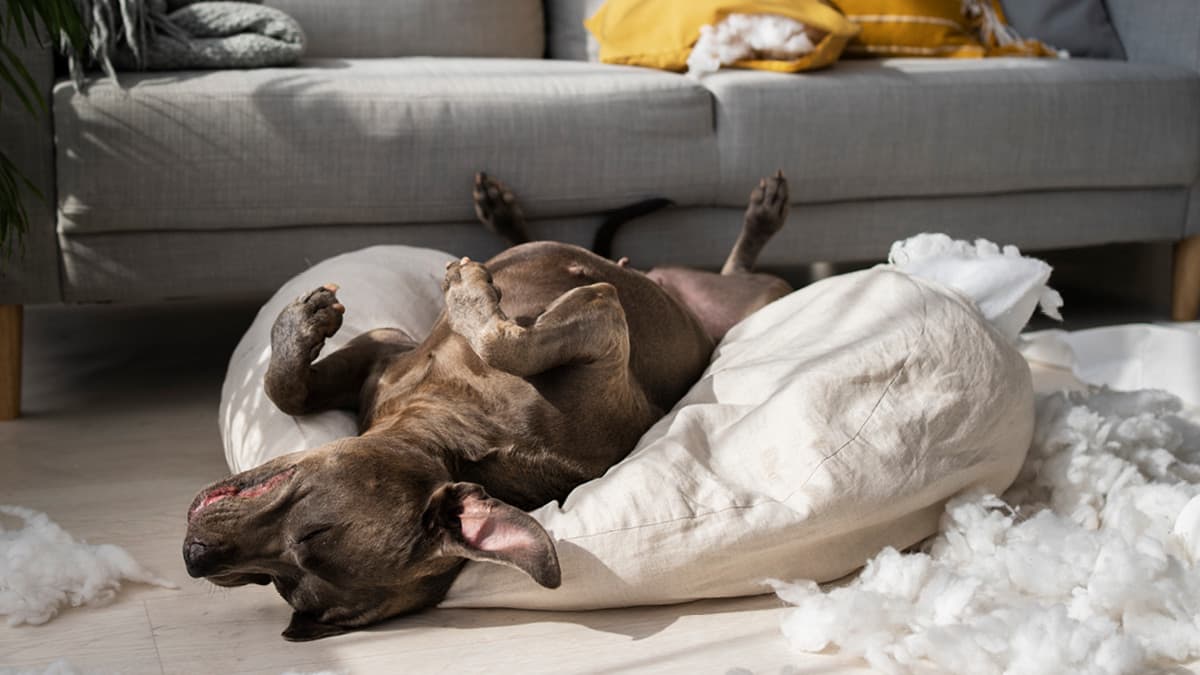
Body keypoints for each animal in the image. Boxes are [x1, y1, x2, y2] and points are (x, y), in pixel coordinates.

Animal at [184, 170, 796, 638]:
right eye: (274, 580)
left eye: (308, 540)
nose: (195, 557)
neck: (459, 432)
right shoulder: (381, 350)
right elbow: (284, 389)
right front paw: (303, 327)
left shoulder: (603, 320)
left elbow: (504, 341)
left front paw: (468, 293)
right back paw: (504, 212)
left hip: (758, 298)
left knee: (738, 270)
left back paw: (763, 214)